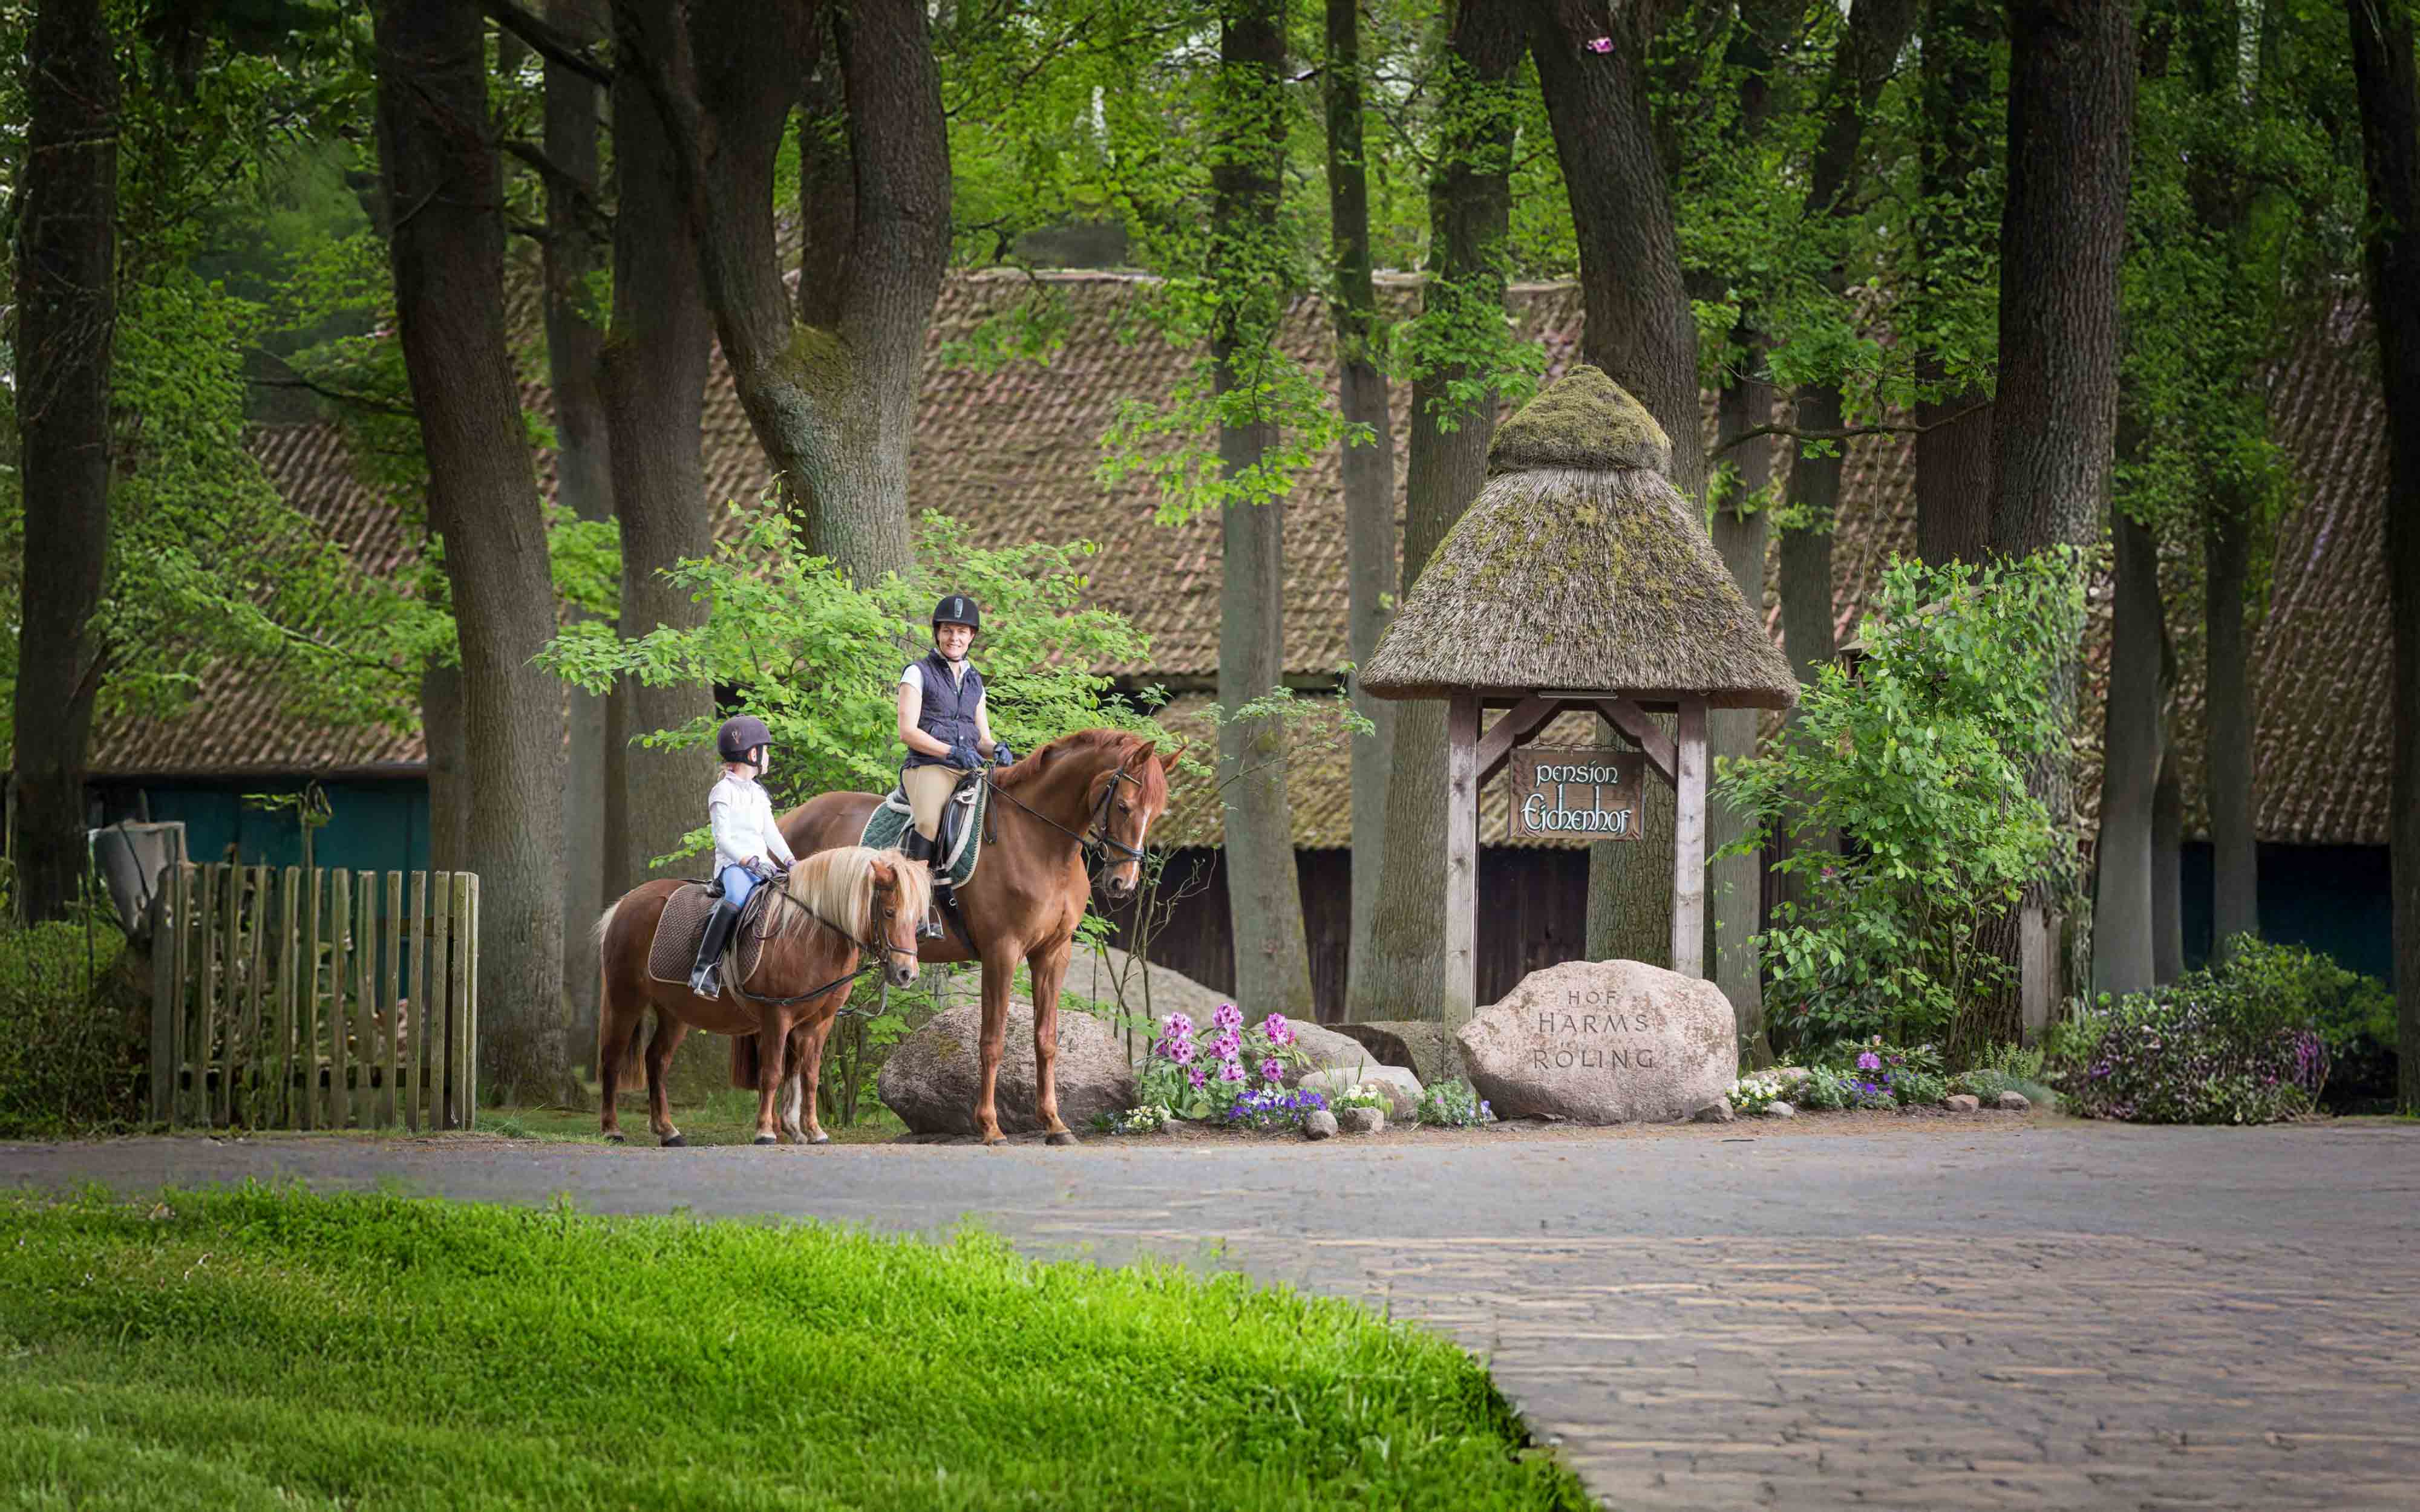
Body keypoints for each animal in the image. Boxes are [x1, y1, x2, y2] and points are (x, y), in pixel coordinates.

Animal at [592, 845, 929, 1146]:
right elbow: (773, 1073)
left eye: (917, 919)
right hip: (626, 1000)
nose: (907, 973)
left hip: (674, 1012)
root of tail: (625, 904)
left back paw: (668, 1131)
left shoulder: (817, 1023)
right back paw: (612, 1129)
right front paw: (766, 1132)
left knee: (657, 1061)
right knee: (612, 1058)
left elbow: (809, 1076)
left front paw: (813, 1131)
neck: (810, 935)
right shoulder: (777, 1017)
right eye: (889, 912)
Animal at [774, 729, 1178, 1146]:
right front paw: (990, 1126)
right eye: (1125, 807)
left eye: (1156, 812)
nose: (1122, 883)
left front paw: (1054, 1123)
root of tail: (790, 818)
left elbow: (1046, 1040)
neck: (1039, 842)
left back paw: (794, 1127)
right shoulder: (1002, 952)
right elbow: (992, 1042)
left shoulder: (1053, 953)